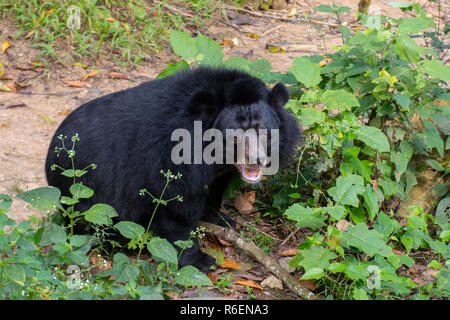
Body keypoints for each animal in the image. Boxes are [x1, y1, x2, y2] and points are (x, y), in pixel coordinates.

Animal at [45, 67, 302, 270]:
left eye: (264, 132)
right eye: (235, 137)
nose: (256, 161)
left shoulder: (216, 171)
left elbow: (214, 188)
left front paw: (221, 219)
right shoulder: (169, 155)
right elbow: (174, 208)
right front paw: (199, 261)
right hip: (87, 193)